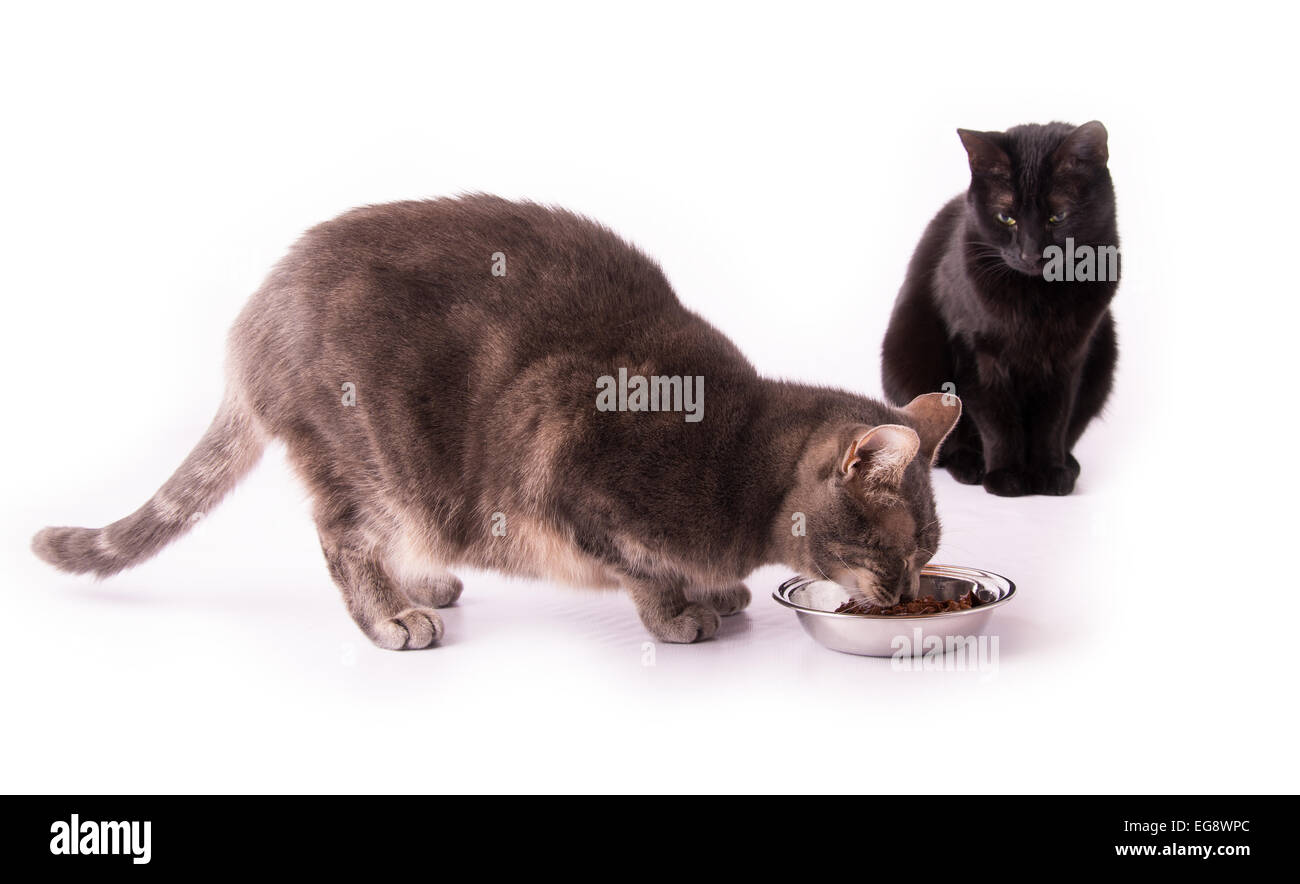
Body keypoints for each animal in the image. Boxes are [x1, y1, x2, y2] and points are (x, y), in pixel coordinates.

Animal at [35, 195, 961, 650]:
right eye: (898, 549)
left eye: (930, 551)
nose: (909, 593)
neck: (739, 461)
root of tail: (254, 315)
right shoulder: (566, 461)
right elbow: (642, 570)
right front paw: (680, 611)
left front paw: (713, 590)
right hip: (367, 458)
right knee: (343, 540)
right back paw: (393, 616)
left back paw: (423, 582)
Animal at [883, 120, 1118, 496]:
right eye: (1006, 217)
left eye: (1057, 217)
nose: (1031, 253)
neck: (1037, 299)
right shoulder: (977, 353)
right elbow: (997, 419)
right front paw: (1006, 475)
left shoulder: (1068, 357)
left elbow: (1053, 419)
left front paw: (1049, 471)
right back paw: (971, 465)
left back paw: (1069, 464)